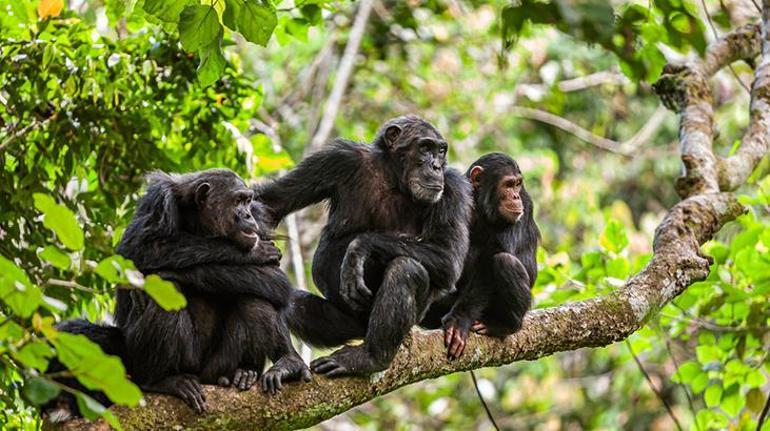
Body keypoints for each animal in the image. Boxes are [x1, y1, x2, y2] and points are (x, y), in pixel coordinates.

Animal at [111, 169, 308, 412]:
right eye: (237, 201)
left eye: (248, 201)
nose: (247, 216)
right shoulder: (157, 202)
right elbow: (139, 251)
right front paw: (254, 252)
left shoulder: (260, 218)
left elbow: (274, 278)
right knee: (165, 293)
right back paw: (161, 380)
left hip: (218, 366)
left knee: (254, 295)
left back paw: (273, 366)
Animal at [258, 115, 472, 378]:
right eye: (425, 148)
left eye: (441, 151)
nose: (436, 166)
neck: (393, 178)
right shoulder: (337, 159)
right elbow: (271, 202)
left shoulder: (453, 188)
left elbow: (447, 256)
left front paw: (358, 249)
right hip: (346, 325)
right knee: (289, 302)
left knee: (406, 269)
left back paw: (370, 358)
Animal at [420, 154, 540, 360]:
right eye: (508, 185)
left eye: (517, 185)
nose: (515, 196)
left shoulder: (525, 203)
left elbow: (491, 258)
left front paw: (459, 320)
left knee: (504, 261)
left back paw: (504, 325)